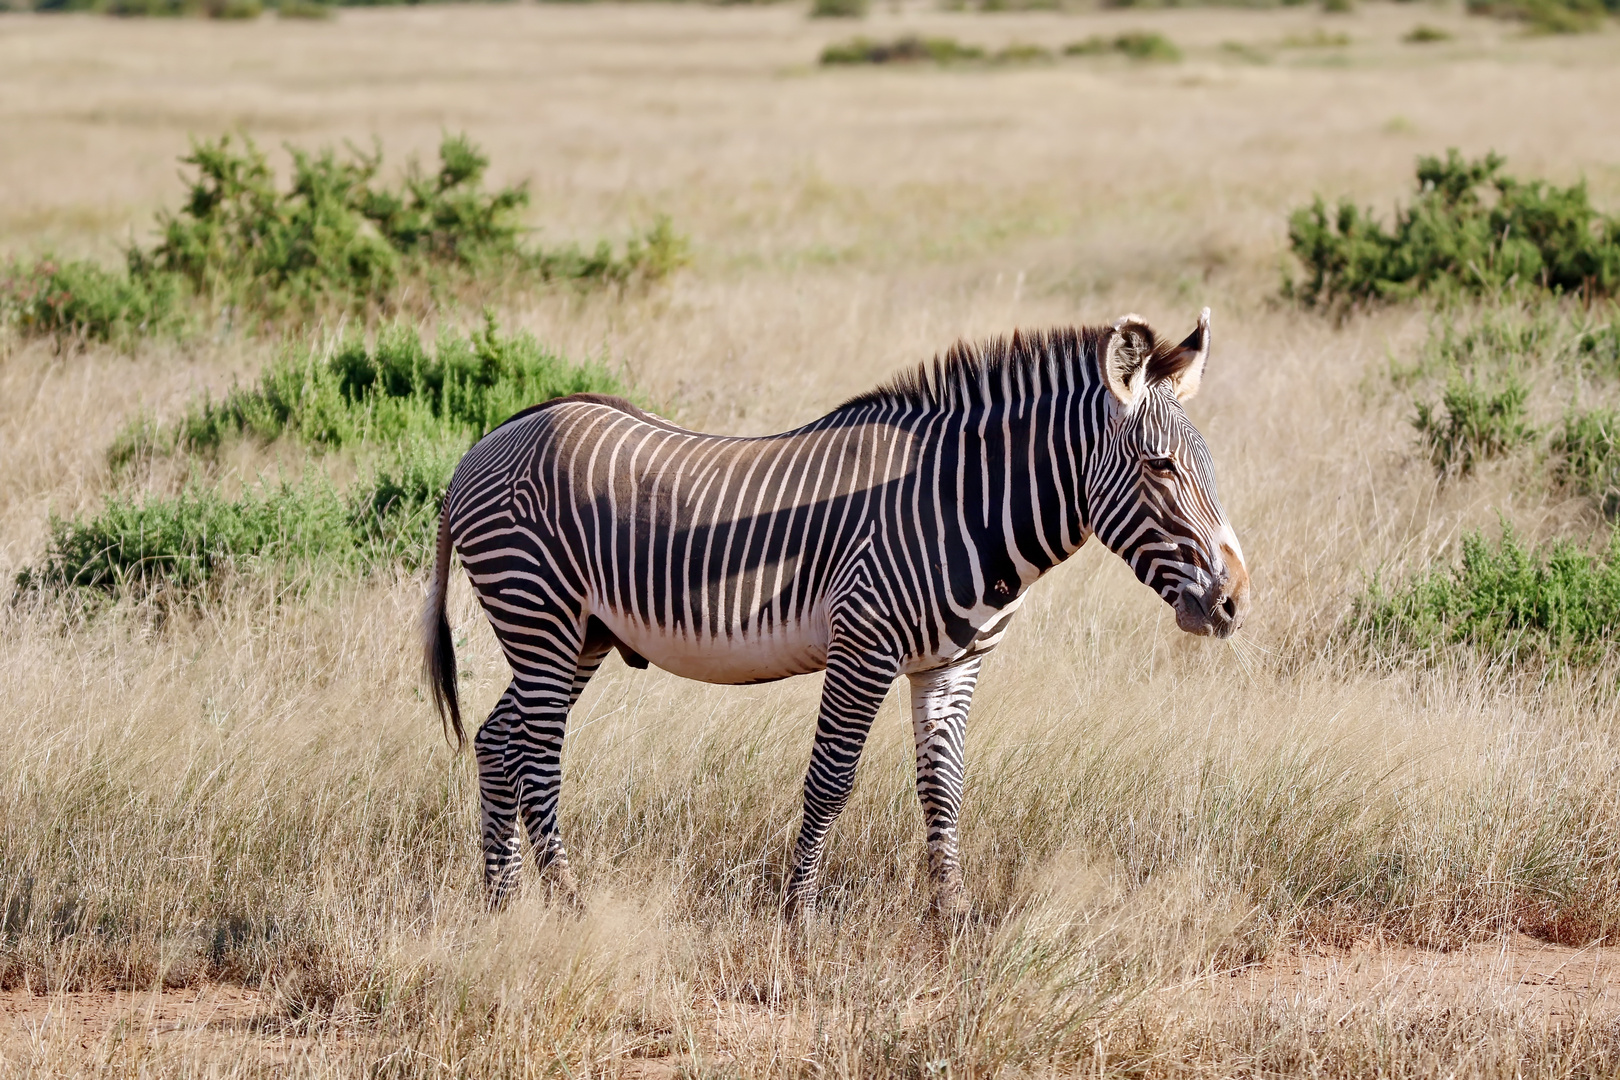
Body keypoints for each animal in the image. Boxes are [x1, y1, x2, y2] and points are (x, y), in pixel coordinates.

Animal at [424, 307, 1244, 919]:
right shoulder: (863, 644)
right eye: (1160, 467)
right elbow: (831, 779)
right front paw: (800, 917)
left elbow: (944, 784)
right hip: (539, 614)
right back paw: (568, 905)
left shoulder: (951, 663)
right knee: (535, 756)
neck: (958, 506)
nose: (1233, 601)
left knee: (498, 740)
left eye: (1210, 467)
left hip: (578, 637)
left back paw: (503, 905)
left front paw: (950, 919)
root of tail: (486, 441)